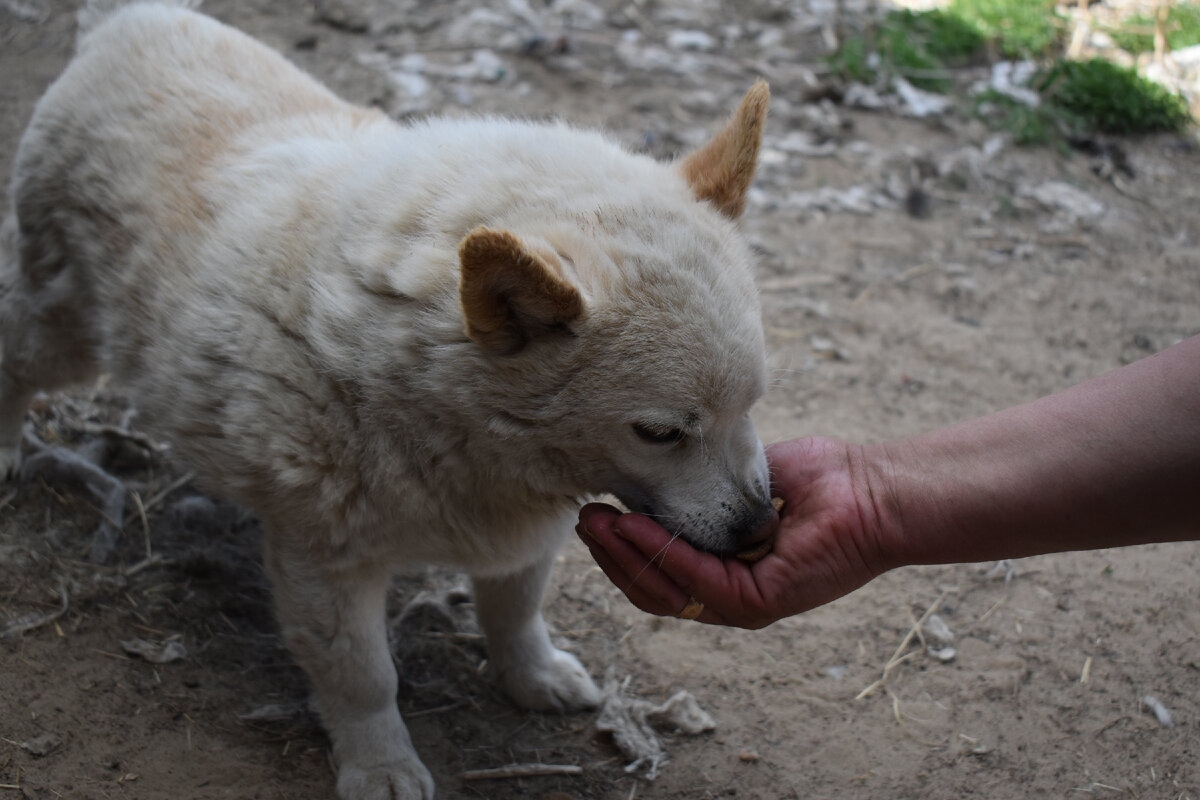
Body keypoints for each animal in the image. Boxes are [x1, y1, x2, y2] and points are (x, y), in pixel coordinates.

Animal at [2, 3, 777, 796]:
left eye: (753, 403)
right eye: (660, 433)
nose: (760, 530)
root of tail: (130, 21)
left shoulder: (527, 529)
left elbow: (515, 612)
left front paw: (533, 676)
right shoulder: (324, 558)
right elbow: (364, 678)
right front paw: (380, 764)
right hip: (62, 324)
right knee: (12, 353)